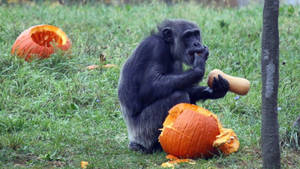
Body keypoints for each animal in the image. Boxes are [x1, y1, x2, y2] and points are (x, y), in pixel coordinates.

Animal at [118, 18, 230, 153]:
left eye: (196, 34)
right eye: (188, 36)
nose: (196, 43)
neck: (169, 48)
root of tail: (132, 138)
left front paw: (216, 89)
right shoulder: (154, 48)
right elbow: (150, 86)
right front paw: (199, 64)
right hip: (143, 132)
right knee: (178, 96)